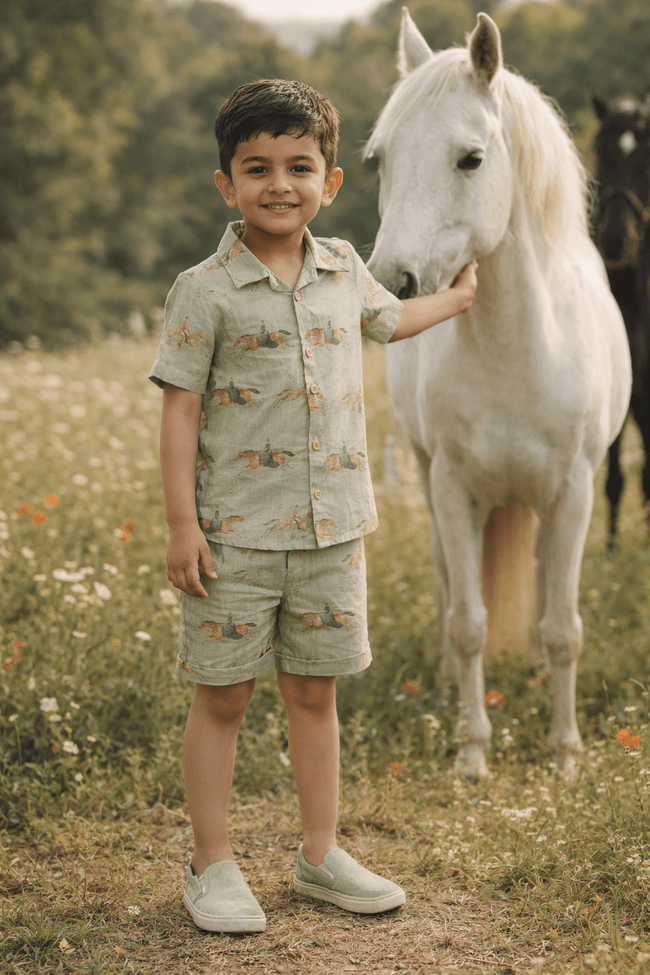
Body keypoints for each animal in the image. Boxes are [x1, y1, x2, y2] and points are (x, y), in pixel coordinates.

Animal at [365, 10, 631, 778]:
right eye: (381, 159)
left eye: (471, 159)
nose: (390, 284)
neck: (517, 348)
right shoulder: (454, 489)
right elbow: (469, 621)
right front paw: (471, 751)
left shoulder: (573, 492)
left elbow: (564, 624)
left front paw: (565, 754)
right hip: (428, 478)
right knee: (447, 580)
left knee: (543, 578)